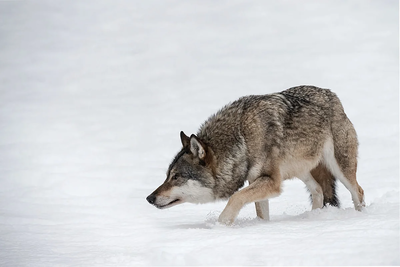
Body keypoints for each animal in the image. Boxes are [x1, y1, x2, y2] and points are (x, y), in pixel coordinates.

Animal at [146, 86, 366, 226]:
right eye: (167, 176)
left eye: (177, 177)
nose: (149, 198)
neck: (242, 138)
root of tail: (332, 95)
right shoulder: (257, 180)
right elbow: (260, 212)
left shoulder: (270, 181)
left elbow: (235, 197)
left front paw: (221, 226)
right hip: (301, 170)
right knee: (319, 190)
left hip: (340, 168)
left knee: (358, 191)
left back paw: (361, 217)